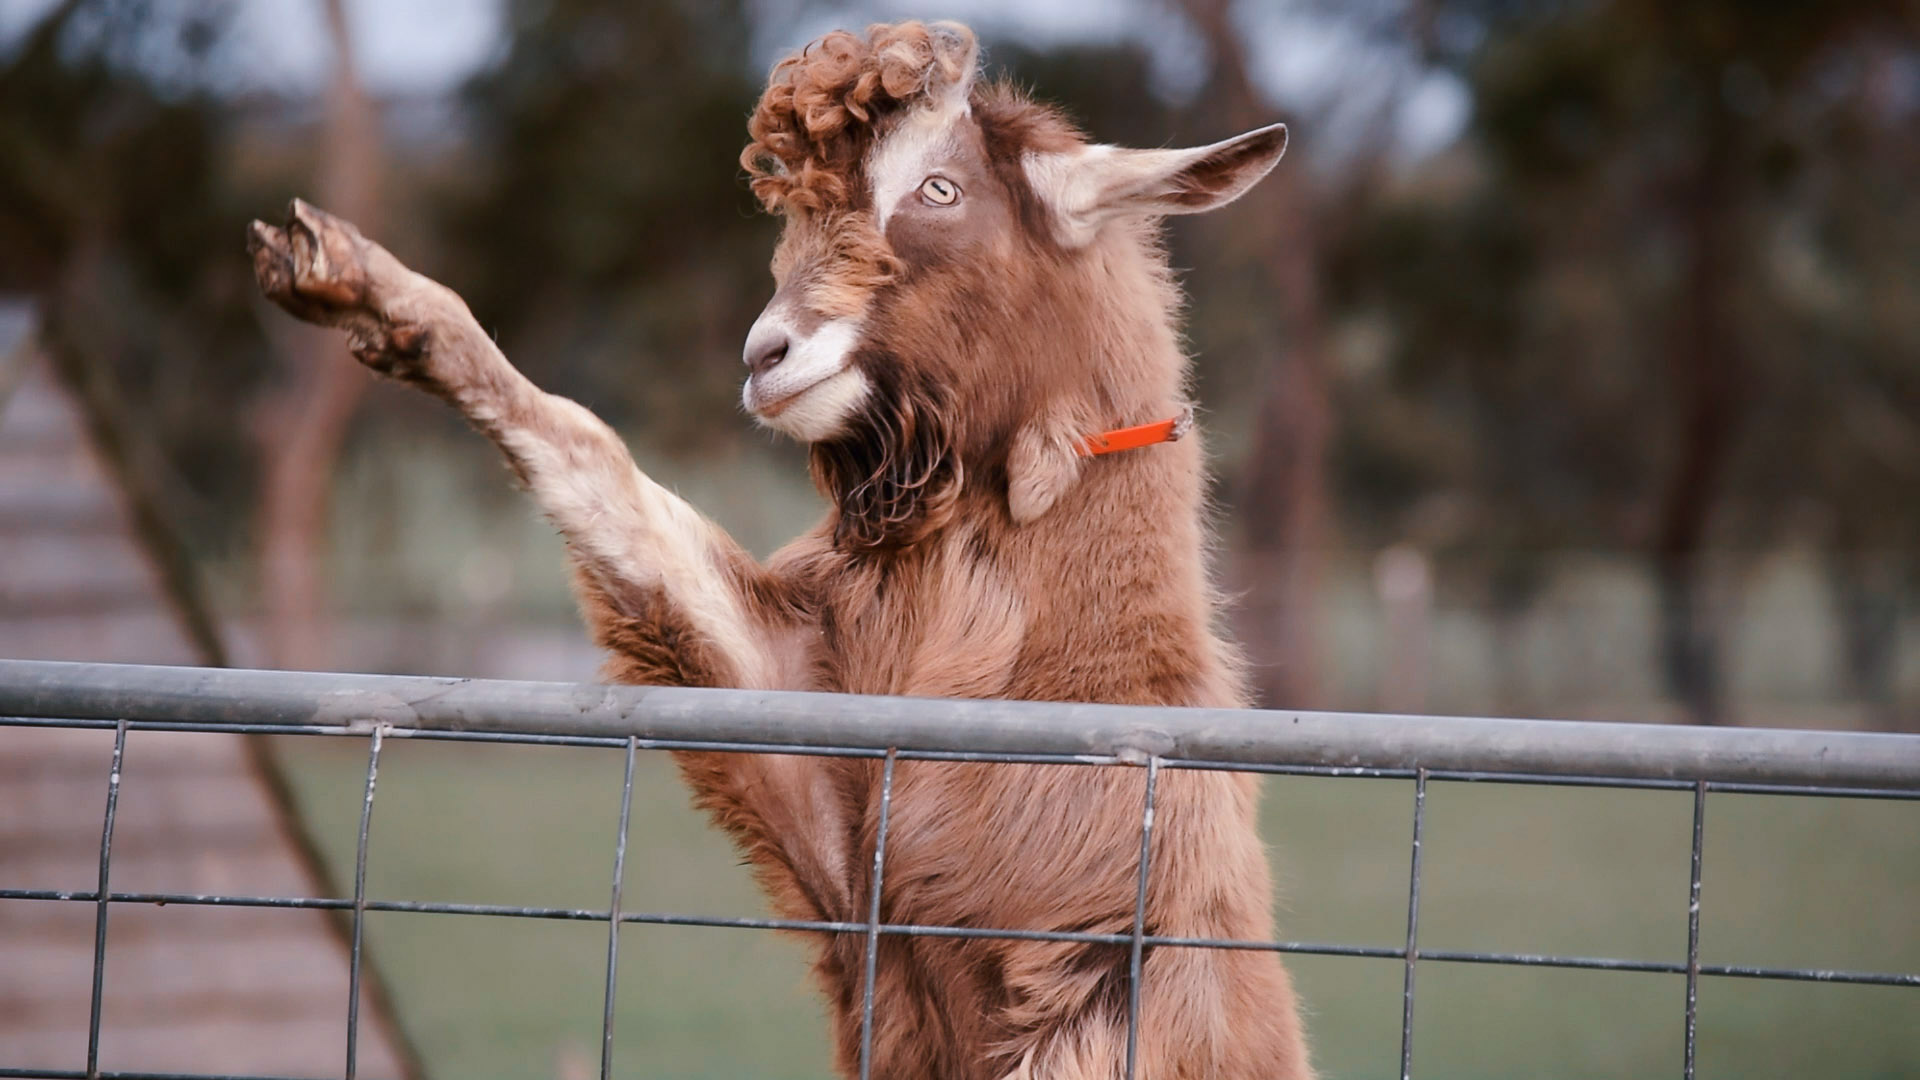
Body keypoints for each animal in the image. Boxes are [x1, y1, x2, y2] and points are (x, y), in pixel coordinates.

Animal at [247, 20, 1308, 1080]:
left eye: (940, 188)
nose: (767, 357)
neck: (1063, 682)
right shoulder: (818, 765)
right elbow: (607, 479)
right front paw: (363, 285)